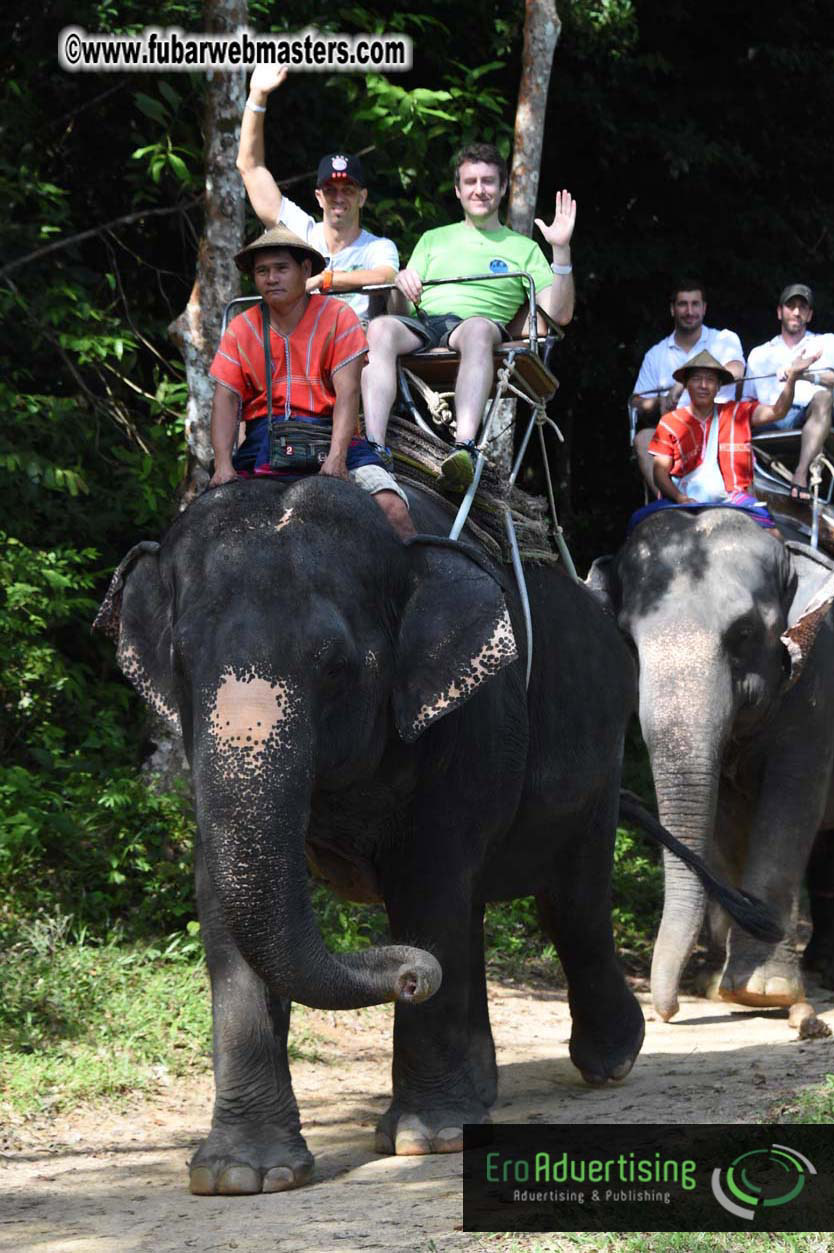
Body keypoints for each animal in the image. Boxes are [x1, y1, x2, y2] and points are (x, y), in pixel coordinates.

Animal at [96, 477, 776, 1195]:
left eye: (337, 668)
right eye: (180, 664)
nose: (410, 976)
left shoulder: (471, 717)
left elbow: (427, 883)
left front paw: (425, 1139)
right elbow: (220, 898)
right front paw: (242, 1174)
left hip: (602, 747)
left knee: (569, 902)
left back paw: (607, 1061)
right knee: (482, 911)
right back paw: (482, 1090)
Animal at [587, 506, 834, 1022]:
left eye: (743, 633)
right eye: (628, 639)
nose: (668, 1011)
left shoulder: (819, 678)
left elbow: (792, 799)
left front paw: (765, 991)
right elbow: (722, 817)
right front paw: (717, 986)